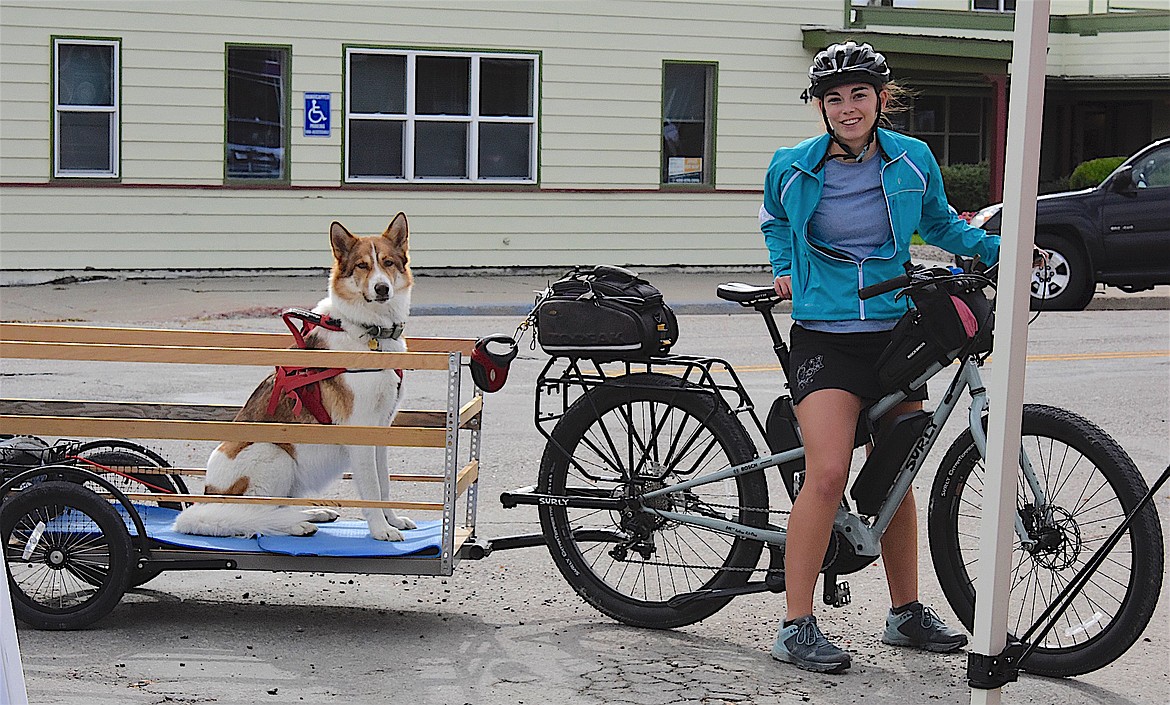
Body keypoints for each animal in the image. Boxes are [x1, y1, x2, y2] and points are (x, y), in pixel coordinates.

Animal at [170, 213, 416, 540]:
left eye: (387, 263)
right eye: (362, 266)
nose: (381, 289)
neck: (368, 332)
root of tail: (207, 498)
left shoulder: (381, 431)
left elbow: (385, 485)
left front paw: (393, 520)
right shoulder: (360, 431)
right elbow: (371, 488)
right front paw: (380, 530)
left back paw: (311, 514)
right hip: (274, 454)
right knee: (250, 516)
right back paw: (294, 524)